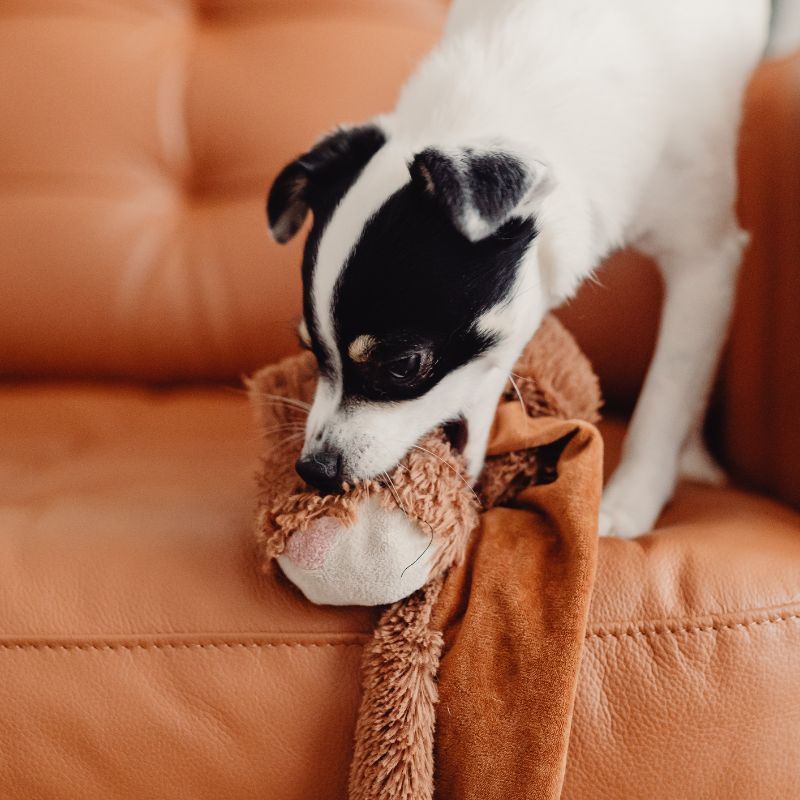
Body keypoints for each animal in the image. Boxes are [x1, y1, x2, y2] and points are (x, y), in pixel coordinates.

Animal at [268, 1, 800, 536]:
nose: (314, 469)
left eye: (403, 365)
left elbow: (667, 390)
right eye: (308, 349)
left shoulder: (706, 260)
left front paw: (630, 502)